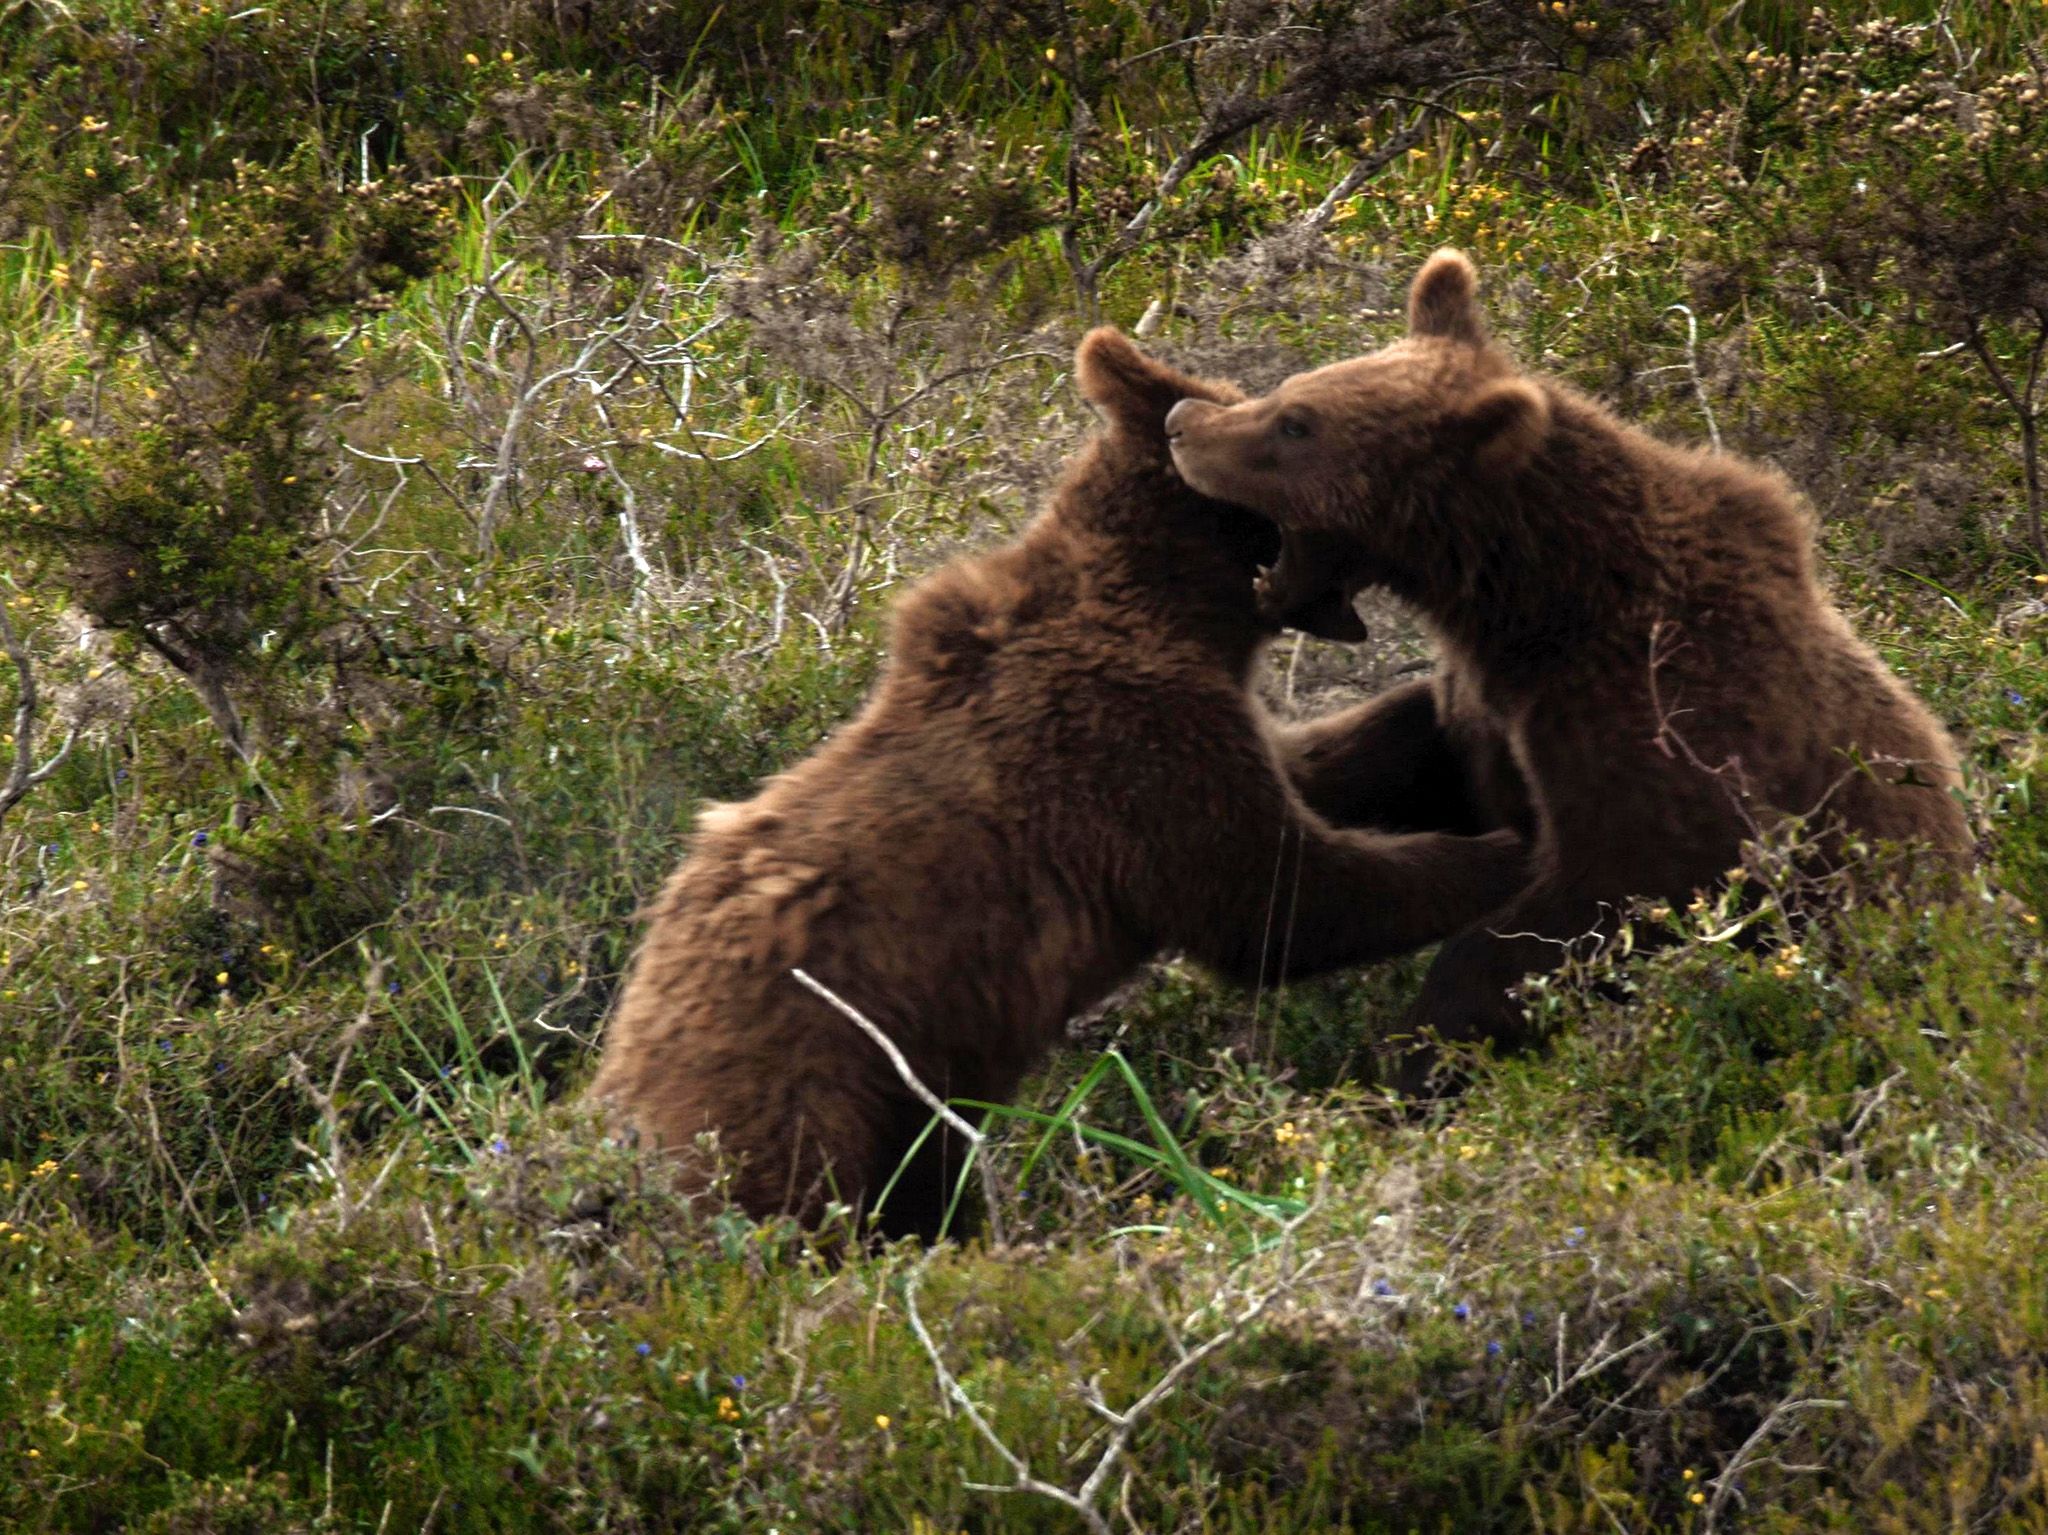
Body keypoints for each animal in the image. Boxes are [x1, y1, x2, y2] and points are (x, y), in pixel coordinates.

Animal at [585, 325, 1531, 1236]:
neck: (1178, 606)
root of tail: (612, 1092)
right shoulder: (1121, 758)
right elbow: (1280, 895)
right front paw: (1507, 852)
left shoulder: (1201, 726)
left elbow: (1314, 767)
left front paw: (1434, 715)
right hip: (804, 1080)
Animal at [1163, 249, 1974, 1097]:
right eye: (1294, 387)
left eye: (1296, 424)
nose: (1183, 422)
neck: (1539, 608)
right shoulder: (1490, 706)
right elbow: (1412, 752)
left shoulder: (1665, 734)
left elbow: (1604, 892)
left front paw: (1422, 1051)